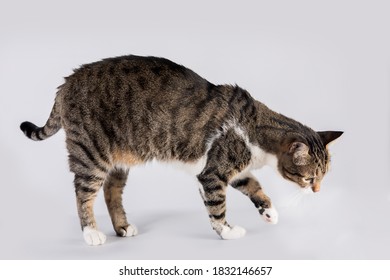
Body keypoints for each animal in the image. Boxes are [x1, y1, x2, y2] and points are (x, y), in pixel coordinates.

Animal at [19, 54, 342, 245]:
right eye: (309, 178)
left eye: (323, 177)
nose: (317, 191)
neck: (252, 127)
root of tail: (66, 83)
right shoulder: (213, 172)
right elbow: (217, 206)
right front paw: (227, 231)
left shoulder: (235, 171)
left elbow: (254, 186)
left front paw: (269, 212)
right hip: (91, 153)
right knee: (83, 193)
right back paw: (91, 233)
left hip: (119, 158)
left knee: (112, 191)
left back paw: (123, 227)